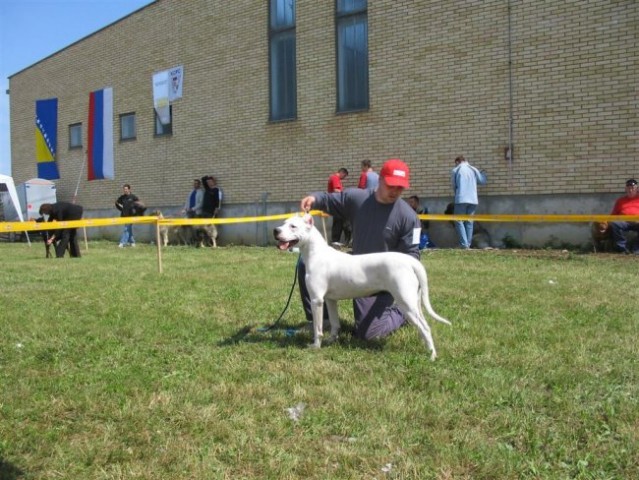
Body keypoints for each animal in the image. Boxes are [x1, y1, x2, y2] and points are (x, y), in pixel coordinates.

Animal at [274, 215, 450, 360]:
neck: (316, 254)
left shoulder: (317, 300)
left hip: (405, 301)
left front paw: (316, 346)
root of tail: (410, 261)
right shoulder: (330, 300)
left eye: (293, 226)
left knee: (425, 327)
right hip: (414, 301)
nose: (276, 230)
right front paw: (331, 340)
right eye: (283, 223)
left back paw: (432, 355)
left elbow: (318, 329)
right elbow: (335, 323)